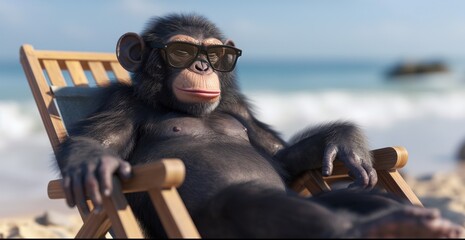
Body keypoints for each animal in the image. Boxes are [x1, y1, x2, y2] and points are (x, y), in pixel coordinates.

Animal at [55, 13, 464, 238]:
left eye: (217, 54)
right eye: (182, 51)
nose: (202, 65)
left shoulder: (239, 109)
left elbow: (278, 154)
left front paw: (345, 141)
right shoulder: (120, 104)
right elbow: (101, 143)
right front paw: (95, 163)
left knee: (362, 198)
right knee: (244, 202)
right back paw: (369, 229)